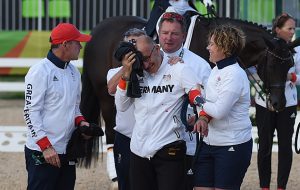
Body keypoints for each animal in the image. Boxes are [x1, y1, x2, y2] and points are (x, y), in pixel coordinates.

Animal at [81, 15, 298, 143]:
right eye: (272, 65)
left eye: (289, 65)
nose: (279, 103)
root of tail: (97, 30)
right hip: (105, 97)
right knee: (111, 133)